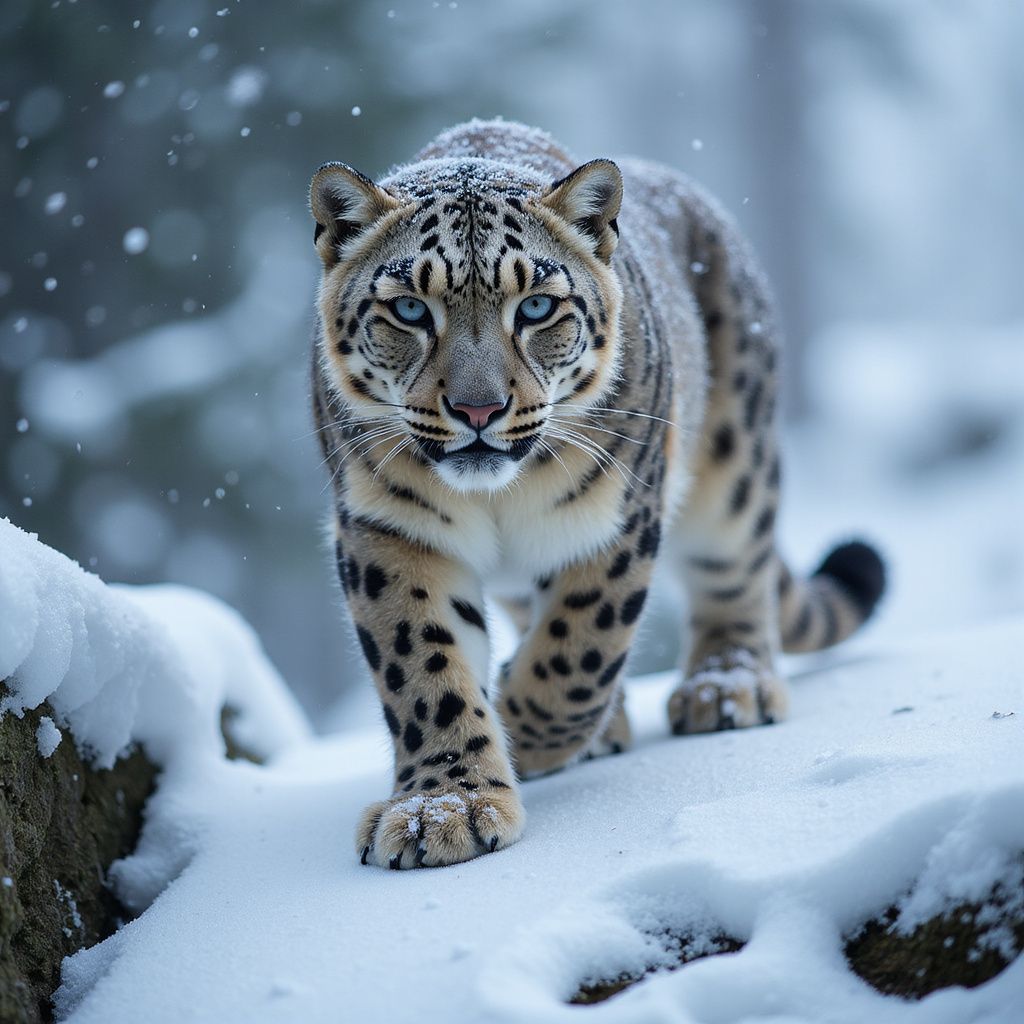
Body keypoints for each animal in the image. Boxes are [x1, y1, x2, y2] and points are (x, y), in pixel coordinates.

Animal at [308, 119, 886, 870]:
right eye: (408, 308)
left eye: (536, 305)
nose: (478, 410)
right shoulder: (387, 530)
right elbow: (423, 667)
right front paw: (442, 805)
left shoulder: (616, 512)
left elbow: (578, 651)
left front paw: (518, 733)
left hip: (736, 470)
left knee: (736, 571)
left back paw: (725, 688)